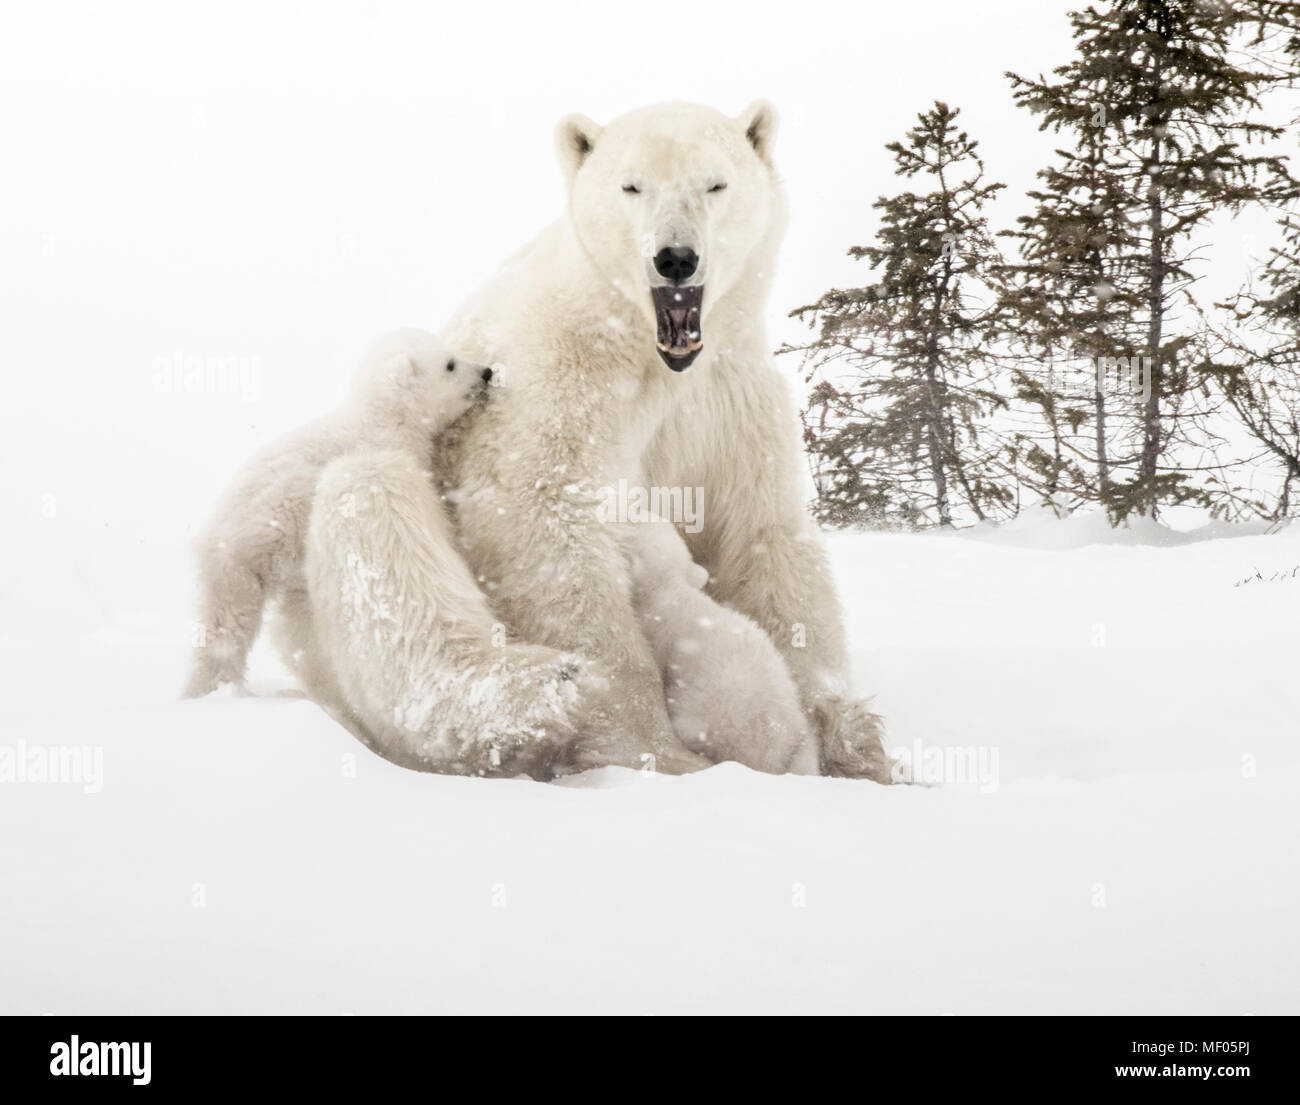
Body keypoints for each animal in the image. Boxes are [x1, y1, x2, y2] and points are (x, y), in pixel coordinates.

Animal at [182, 327, 492, 700]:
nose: (487, 372)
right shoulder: (387, 450)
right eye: (450, 364)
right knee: (234, 622)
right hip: (257, 545)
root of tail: (211, 538)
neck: (384, 417)